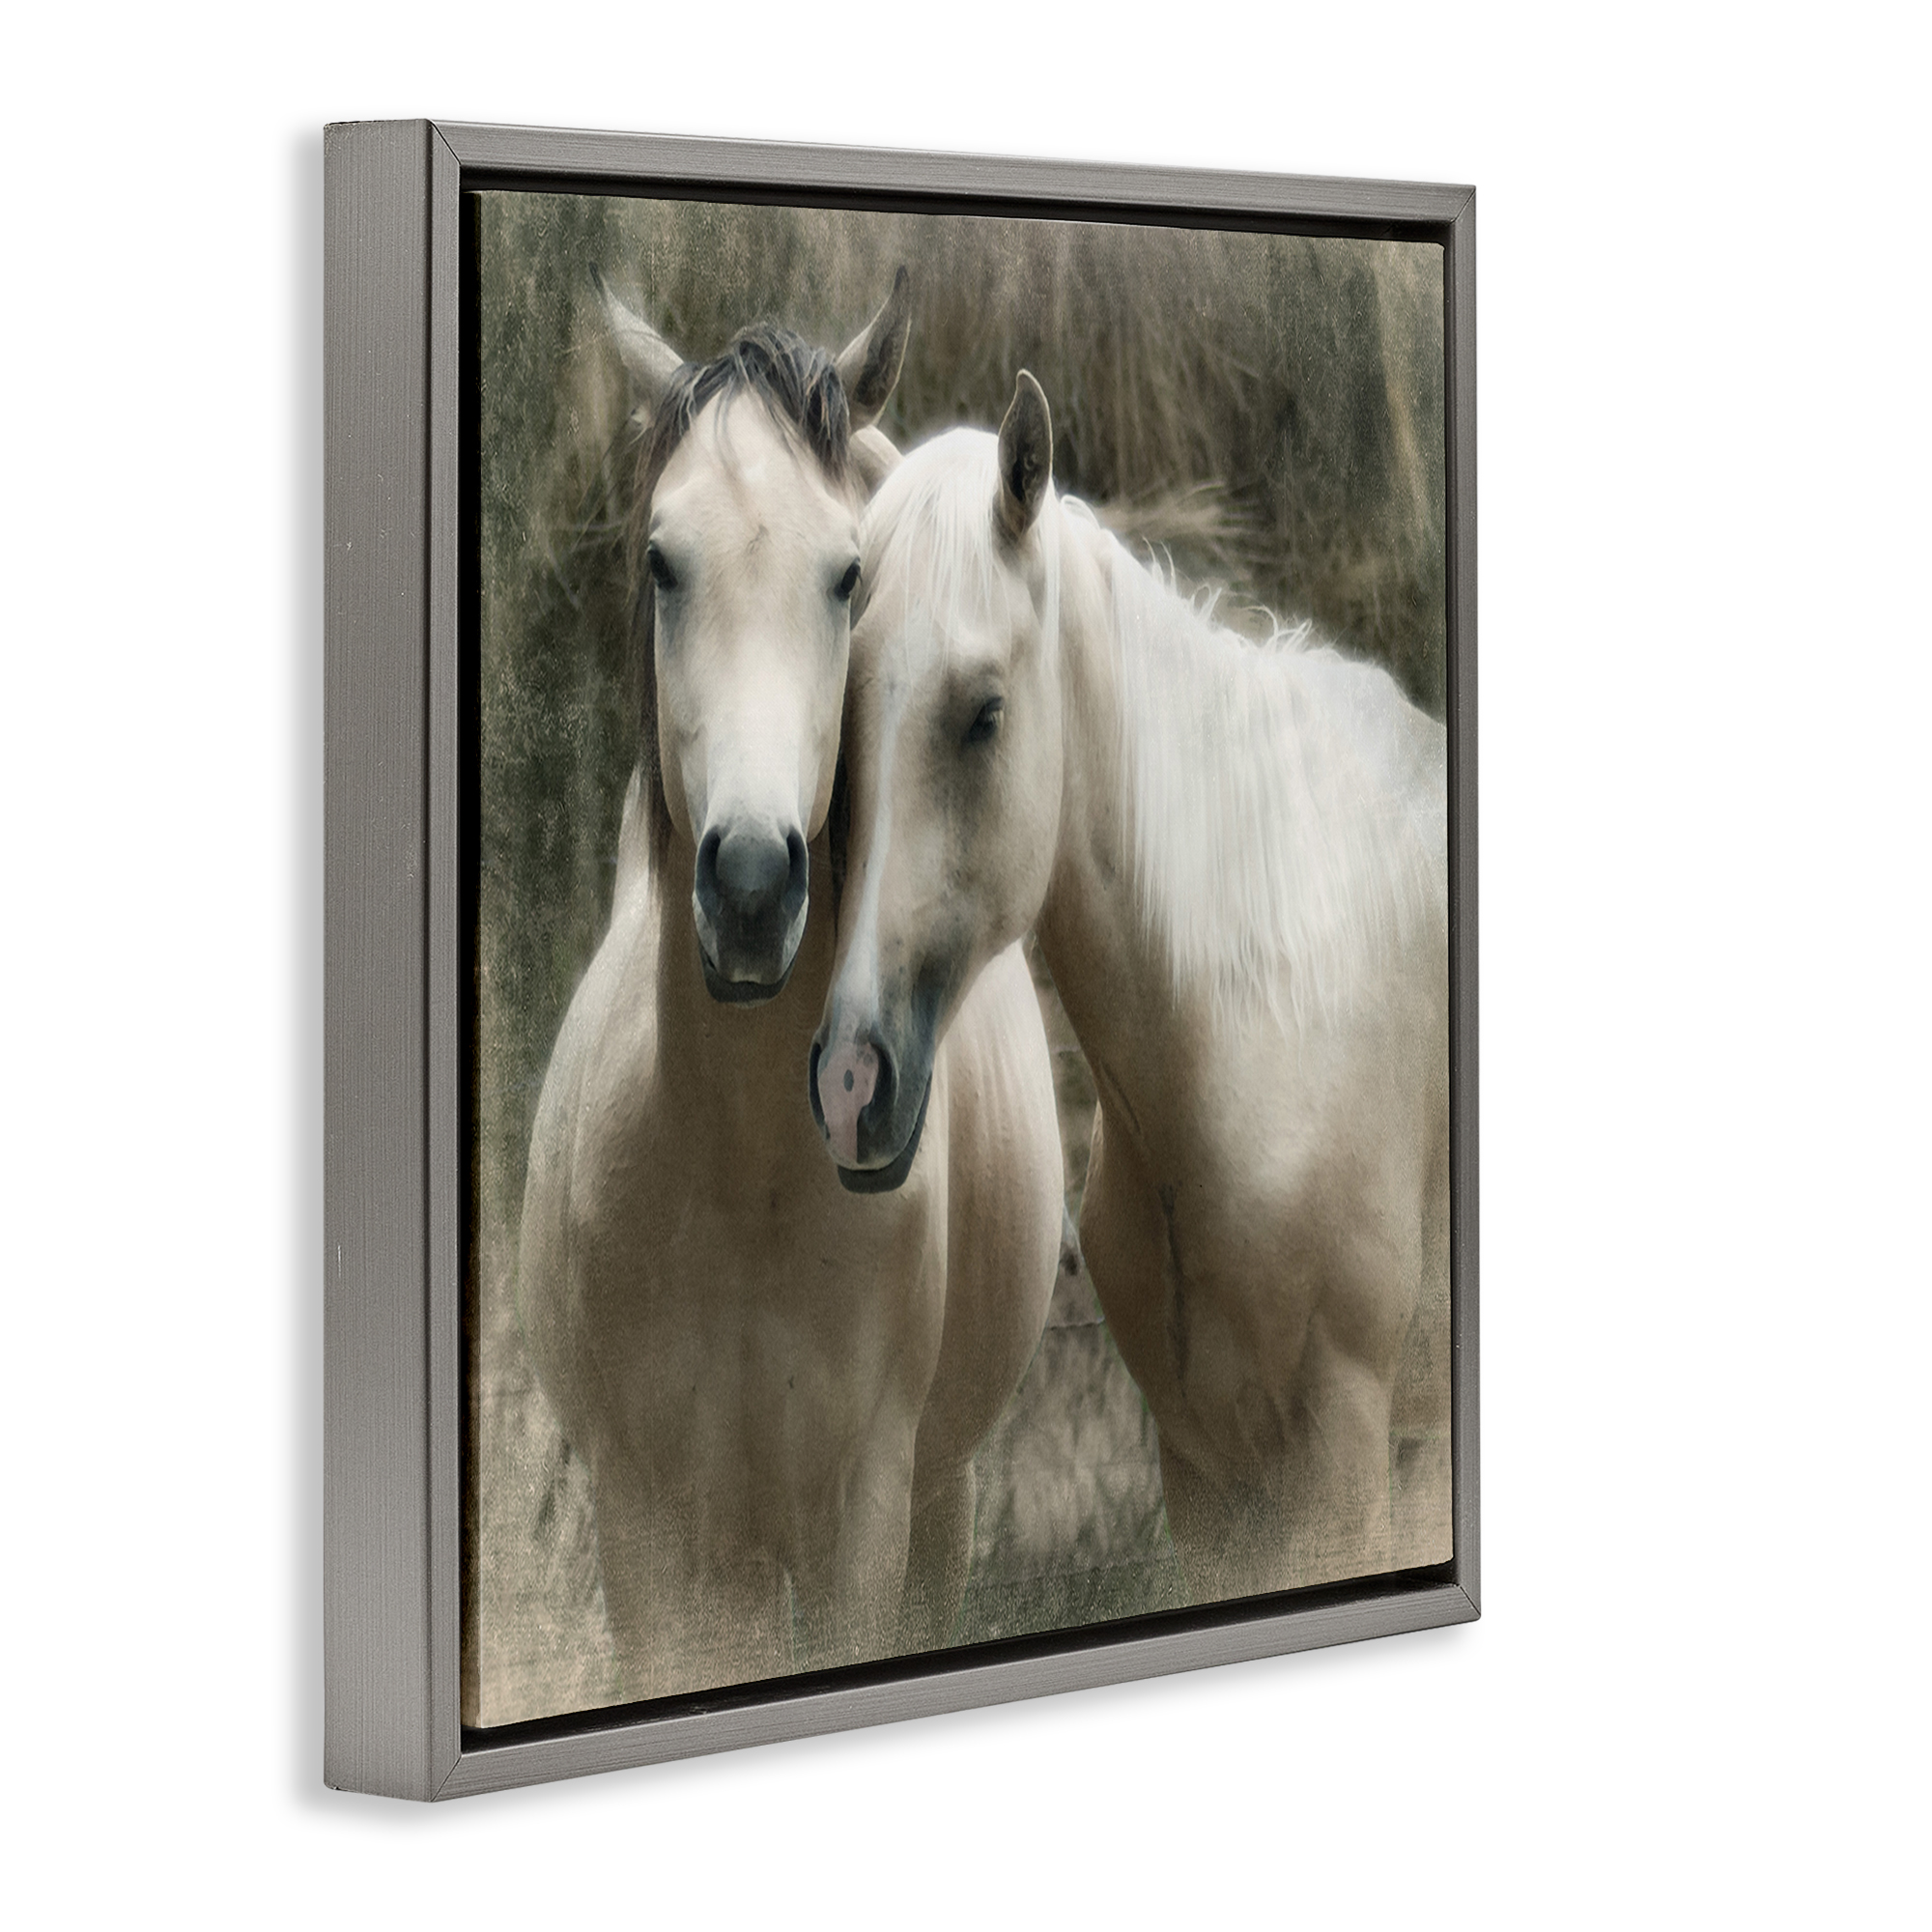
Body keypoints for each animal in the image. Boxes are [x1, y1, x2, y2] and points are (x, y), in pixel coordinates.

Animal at [515, 285, 1063, 1700]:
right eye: (663, 561)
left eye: (845, 573)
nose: (755, 883)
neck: (739, 1175)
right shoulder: (648, 1540)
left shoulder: (860, 1522)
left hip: (935, 1505)